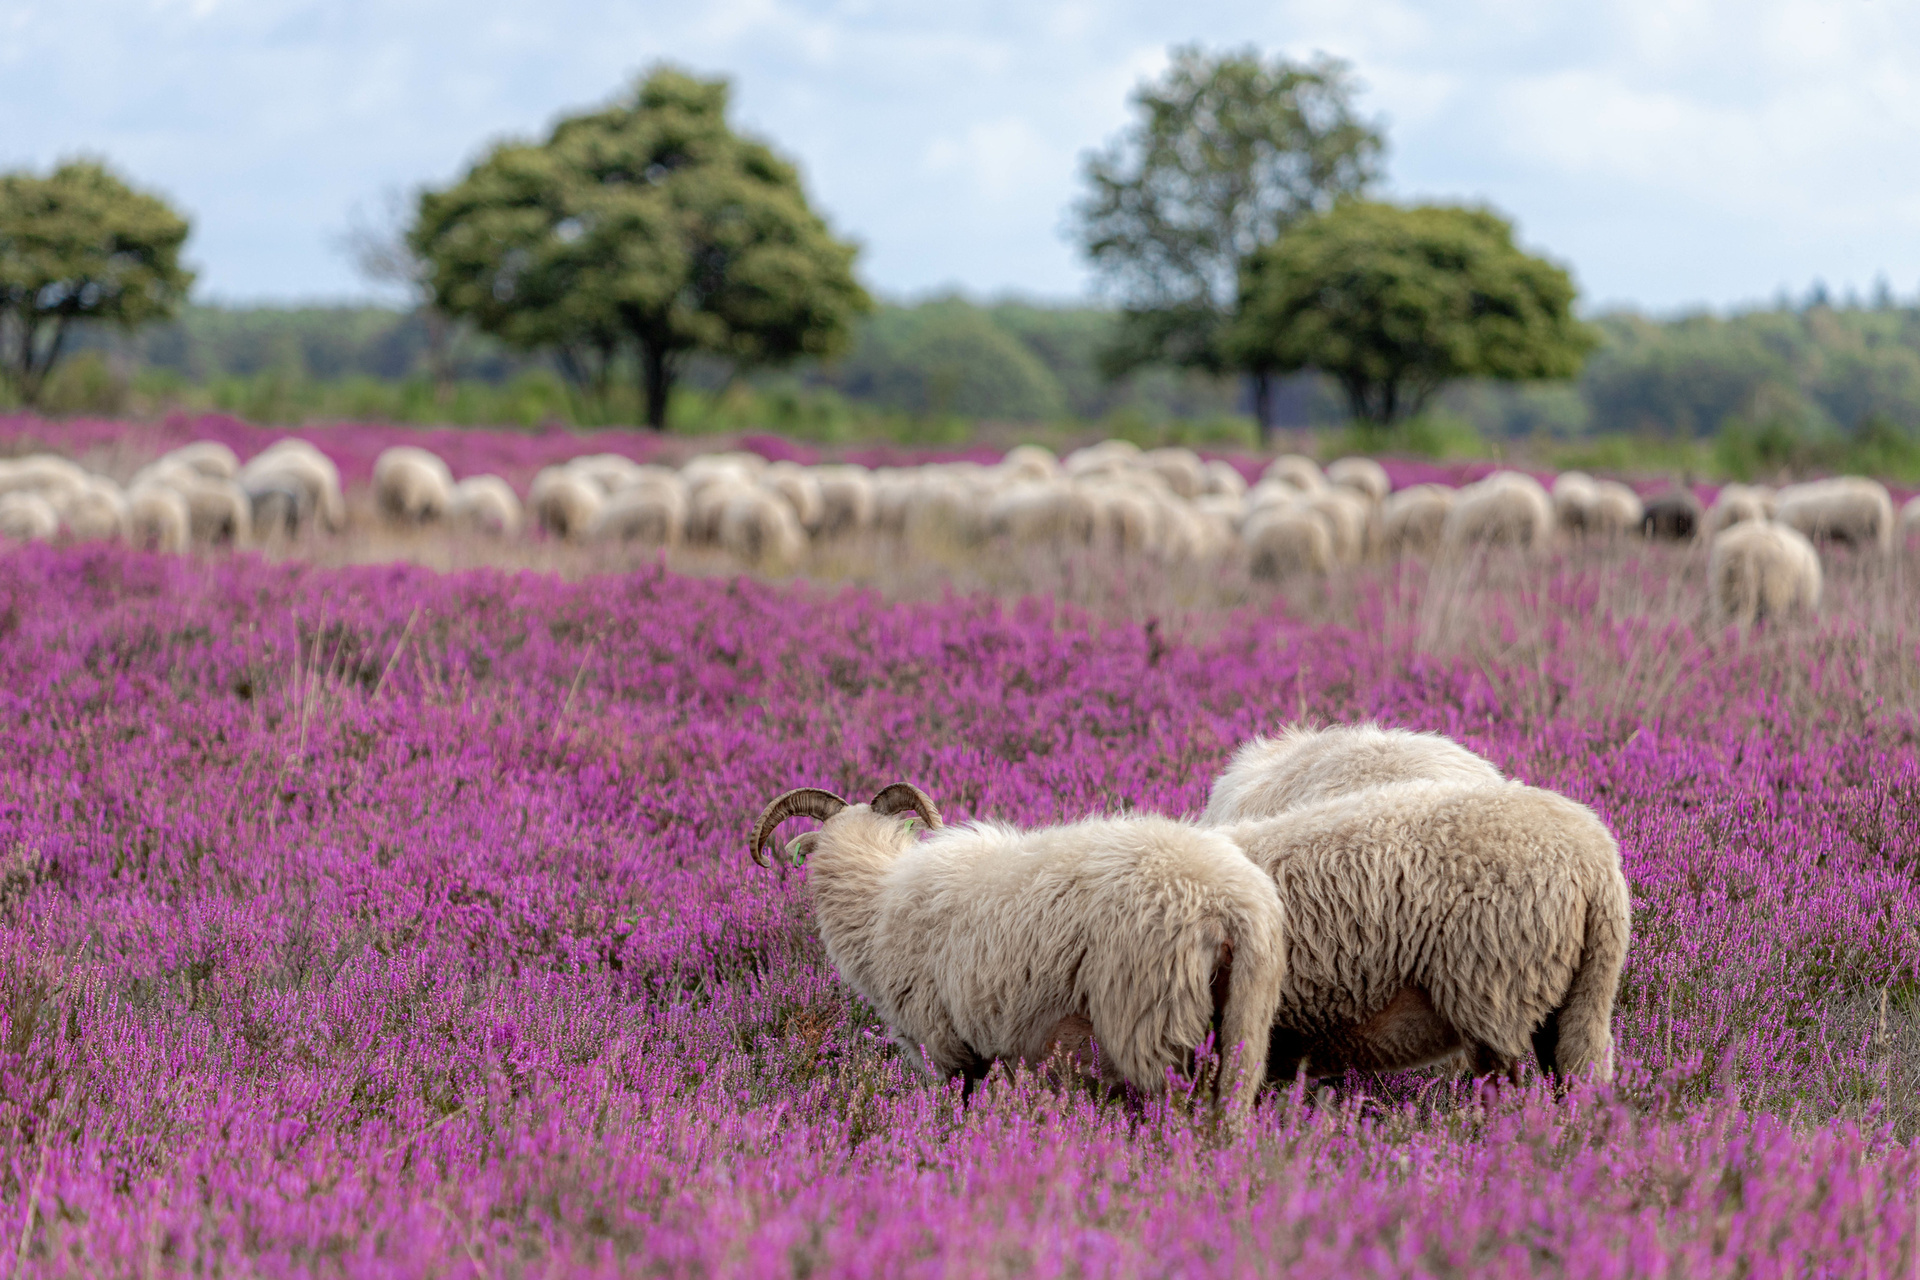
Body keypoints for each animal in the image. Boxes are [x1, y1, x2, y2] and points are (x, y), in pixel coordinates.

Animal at [750, 783, 1286, 1129]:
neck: (877, 896)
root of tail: (1226, 902)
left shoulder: (944, 1043)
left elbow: (959, 1107)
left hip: (1152, 1019)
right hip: (1245, 1019)